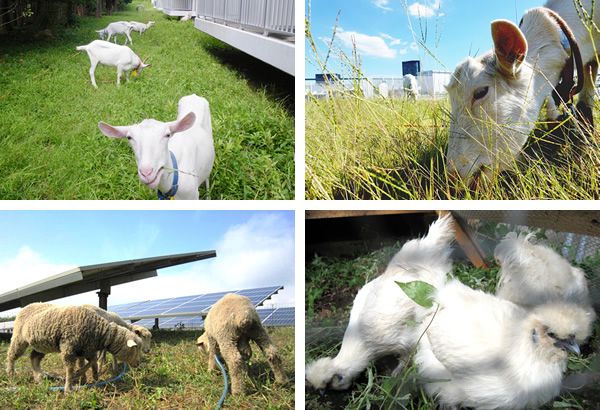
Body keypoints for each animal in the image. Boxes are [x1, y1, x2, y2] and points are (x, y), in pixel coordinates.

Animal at [6, 302, 142, 392]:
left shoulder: (86, 349)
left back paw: (39, 377)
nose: (138, 364)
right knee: (12, 355)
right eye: (135, 348)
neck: (100, 332)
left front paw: (91, 375)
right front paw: (68, 387)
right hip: (19, 337)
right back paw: (10, 373)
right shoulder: (69, 347)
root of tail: (26, 306)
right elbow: (70, 368)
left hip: (42, 345)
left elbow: (92, 361)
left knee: (34, 358)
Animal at [304, 215, 454, 390]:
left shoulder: (405, 340)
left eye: (329, 383)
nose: (322, 392)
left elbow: (405, 357)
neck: (362, 341)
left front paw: (397, 372)